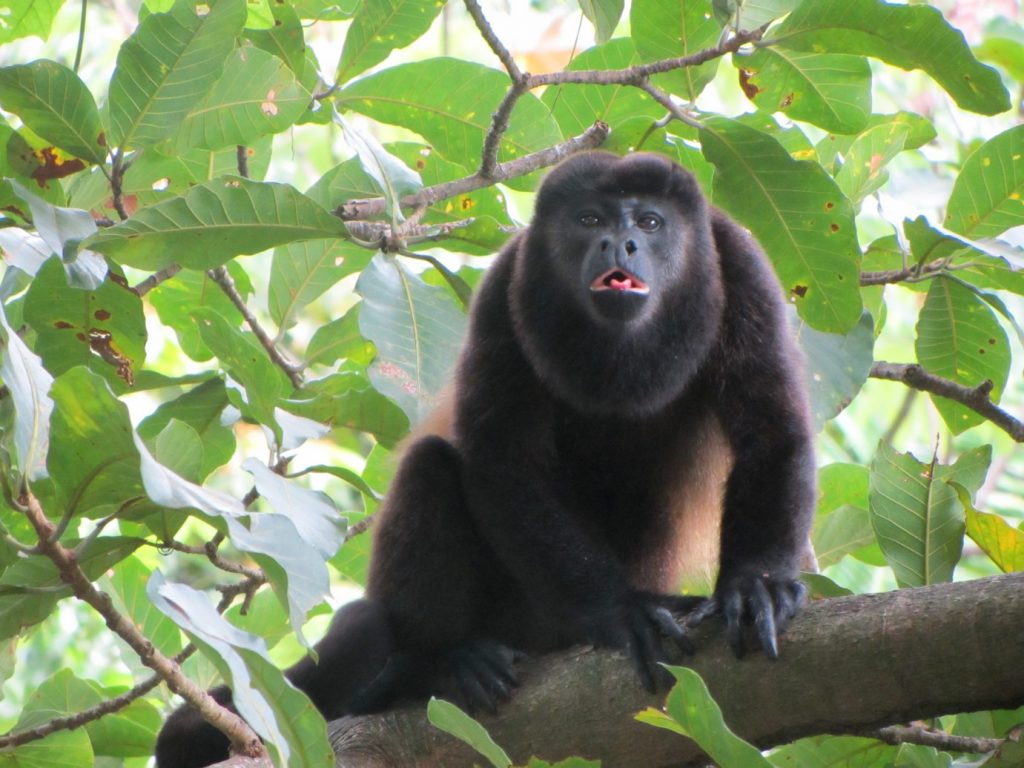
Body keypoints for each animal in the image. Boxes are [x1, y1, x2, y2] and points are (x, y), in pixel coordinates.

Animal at [155, 151, 815, 768]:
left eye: (650, 223)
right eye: (589, 219)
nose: (619, 242)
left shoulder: (744, 264)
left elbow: (772, 430)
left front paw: (755, 586)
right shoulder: (505, 283)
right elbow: (500, 456)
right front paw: (620, 611)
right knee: (430, 468)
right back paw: (436, 666)